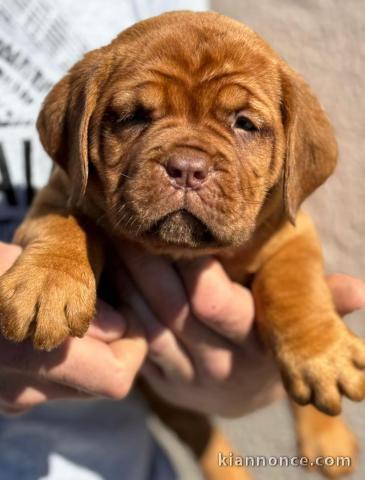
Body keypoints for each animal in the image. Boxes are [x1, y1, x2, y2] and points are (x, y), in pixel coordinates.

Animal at [0, 11, 364, 480]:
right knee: (202, 436)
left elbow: (294, 284)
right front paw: (47, 285)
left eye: (244, 123)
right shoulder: (61, 190)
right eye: (133, 117)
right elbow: (64, 224)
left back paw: (327, 435)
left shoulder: (291, 232)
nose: (187, 168)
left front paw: (321, 354)